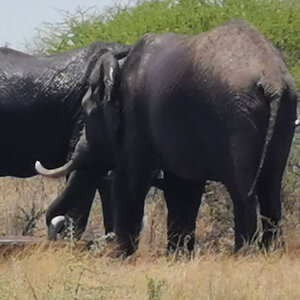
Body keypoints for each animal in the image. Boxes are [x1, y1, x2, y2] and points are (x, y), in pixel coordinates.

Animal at [37, 19, 298, 255]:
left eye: (87, 111)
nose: (57, 227)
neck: (120, 63)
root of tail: (272, 79)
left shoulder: (136, 118)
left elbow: (129, 183)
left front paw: (121, 257)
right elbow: (183, 187)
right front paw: (177, 256)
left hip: (236, 115)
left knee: (244, 192)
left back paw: (241, 255)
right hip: (284, 111)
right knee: (271, 189)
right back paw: (267, 253)